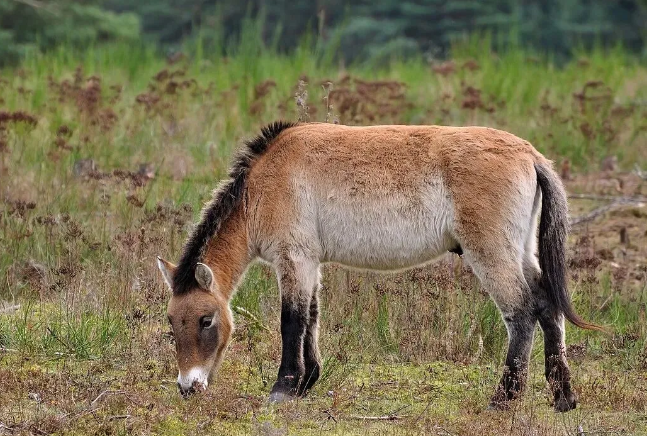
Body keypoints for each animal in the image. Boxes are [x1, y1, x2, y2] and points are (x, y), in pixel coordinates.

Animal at [156, 121, 600, 412]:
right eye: (171, 323)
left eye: (206, 320)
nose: (187, 387)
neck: (262, 184)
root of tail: (530, 155)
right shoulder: (310, 262)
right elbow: (312, 318)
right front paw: (307, 383)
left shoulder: (294, 258)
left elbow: (292, 321)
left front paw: (283, 389)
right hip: (520, 251)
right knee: (547, 305)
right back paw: (563, 397)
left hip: (491, 253)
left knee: (522, 313)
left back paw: (503, 399)